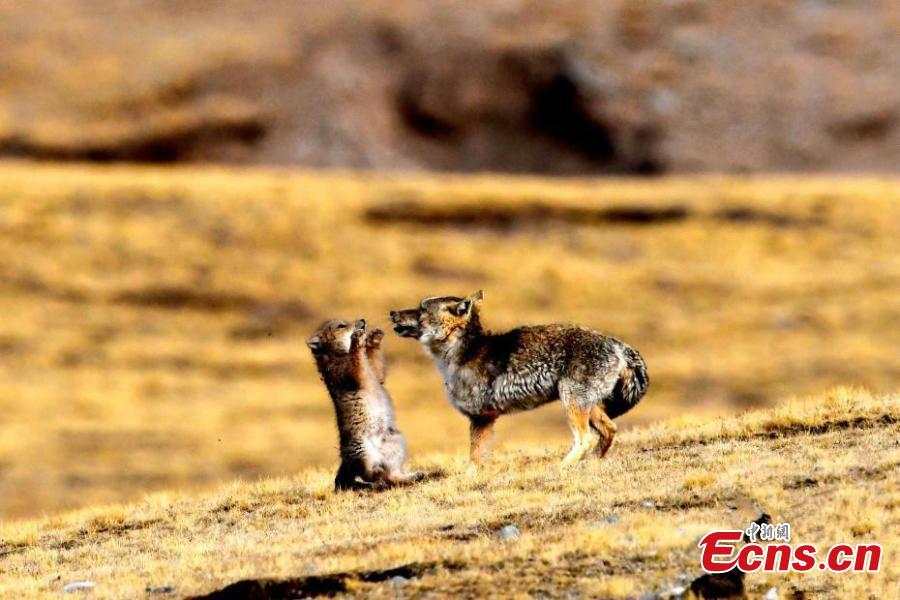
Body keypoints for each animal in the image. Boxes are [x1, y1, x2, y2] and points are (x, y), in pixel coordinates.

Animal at [306, 318, 422, 490]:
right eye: (341, 325)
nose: (362, 320)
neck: (338, 353)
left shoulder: (371, 369)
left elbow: (375, 369)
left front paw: (374, 336)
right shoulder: (339, 369)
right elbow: (356, 369)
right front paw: (357, 338)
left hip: (397, 442)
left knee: (391, 475)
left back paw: (414, 475)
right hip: (362, 451)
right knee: (368, 474)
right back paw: (377, 475)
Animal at [389, 291, 648, 468]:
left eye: (421, 309)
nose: (391, 313)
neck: (460, 352)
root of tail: (619, 345)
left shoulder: (481, 416)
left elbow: (474, 458)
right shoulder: (484, 419)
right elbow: (477, 460)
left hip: (573, 402)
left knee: (585, 438)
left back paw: (562, 466)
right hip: (588, 405)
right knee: (609, 430)